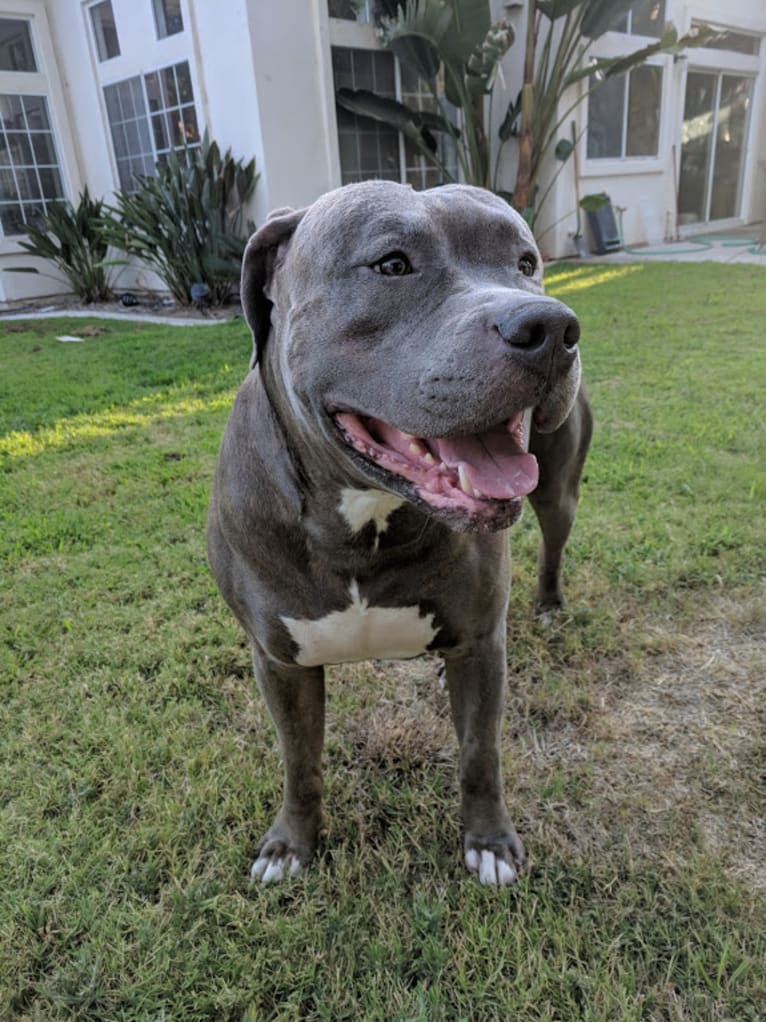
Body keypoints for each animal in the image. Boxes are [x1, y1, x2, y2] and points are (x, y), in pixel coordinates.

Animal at [205, 181, 592, 887]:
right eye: (391, 264)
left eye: (526, 262)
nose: (552, 327)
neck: (365, 517)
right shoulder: (280, 662)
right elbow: (299, 762)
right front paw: (290, 844)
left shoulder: (480, 643)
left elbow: (480, 754)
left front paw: (490, 843)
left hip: (557, 494)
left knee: (553, 540)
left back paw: (549, 604)